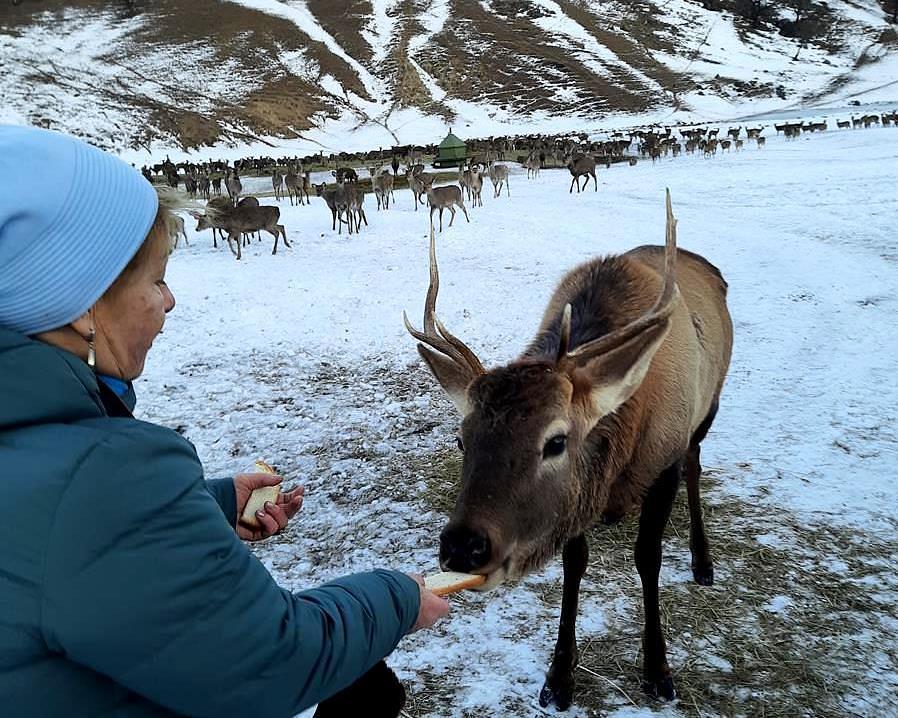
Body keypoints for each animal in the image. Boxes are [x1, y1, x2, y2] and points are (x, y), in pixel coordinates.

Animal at [402, 193, 732, 716]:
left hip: (708, 409)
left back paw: (703, 561)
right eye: (461, 438)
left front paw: (658, 669)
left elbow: (649, 558)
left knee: (696, 468)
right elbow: (574, 565)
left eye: (556, 441)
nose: (463, 546)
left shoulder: (664, 459)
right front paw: (559, 677)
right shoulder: (582, 493)